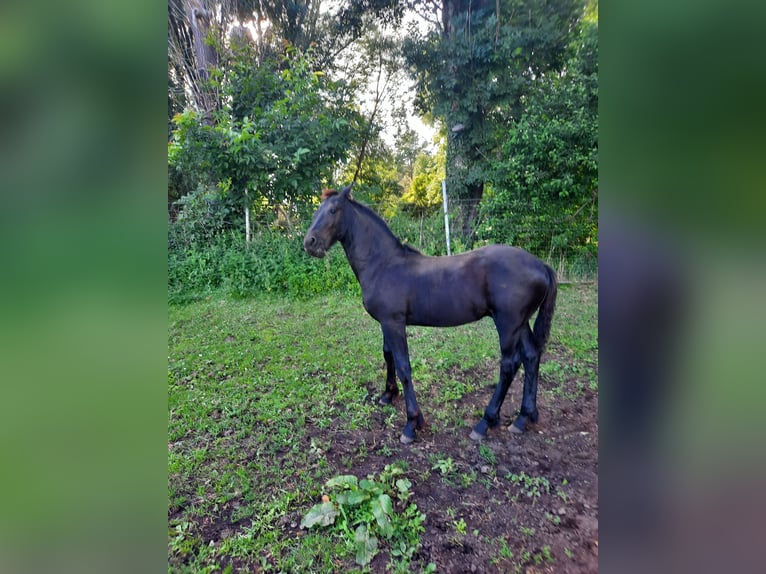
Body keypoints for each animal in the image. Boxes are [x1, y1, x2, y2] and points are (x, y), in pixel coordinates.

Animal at [304, 184, 560, 446]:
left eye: (333, 210)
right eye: (317, 210)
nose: (310, 243)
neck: (383, 264)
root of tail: (541, 266)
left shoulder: (394, 323)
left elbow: (404, 367)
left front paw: (412, 423)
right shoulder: (386, 323)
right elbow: (388, 355)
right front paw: (388, 395)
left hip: (508, 324)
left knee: (509, 365)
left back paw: (485, 423)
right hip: (521, 323)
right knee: (531, 356)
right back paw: (523, 417)